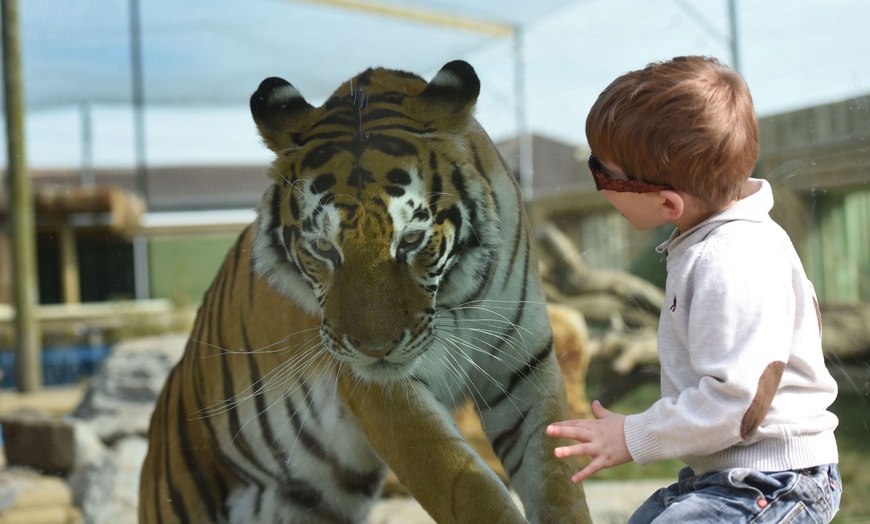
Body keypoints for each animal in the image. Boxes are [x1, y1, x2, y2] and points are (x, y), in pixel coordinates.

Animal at [141, 61, 592, 524]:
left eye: (411, 240)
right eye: (323, 247)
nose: (374, 350)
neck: (452, 300)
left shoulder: (525, 365)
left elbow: (557, 478)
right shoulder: (380, 392)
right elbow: (469, 491)